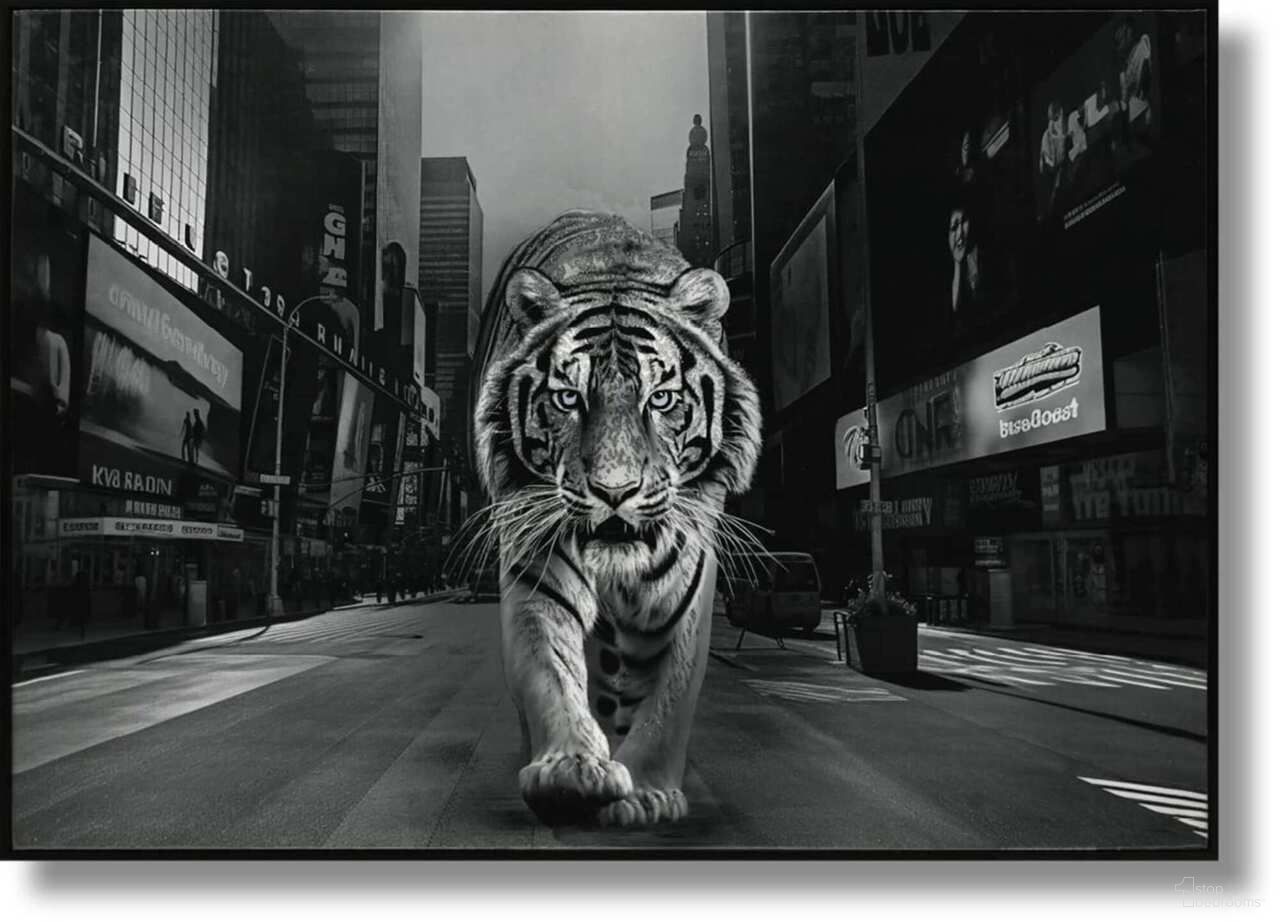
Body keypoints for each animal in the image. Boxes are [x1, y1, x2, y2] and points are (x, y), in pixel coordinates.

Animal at [467, 210, 762, 827]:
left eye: (661, 399)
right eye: (567, 398)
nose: (614, 491)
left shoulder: (685, 585)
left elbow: (669, 696)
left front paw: (647, 791)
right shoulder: (537, 567)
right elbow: (550, 669)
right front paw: (571, 768)